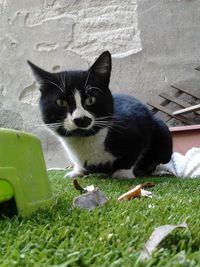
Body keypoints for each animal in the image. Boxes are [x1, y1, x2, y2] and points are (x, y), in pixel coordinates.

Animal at [28, 51, 172, 179]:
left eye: (91, 100)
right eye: (61, 102)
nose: (80, 119)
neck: (84, 140)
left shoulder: (139, 125)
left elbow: (133, 153)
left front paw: (123, 173)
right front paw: (77, 171)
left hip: (163, 135)